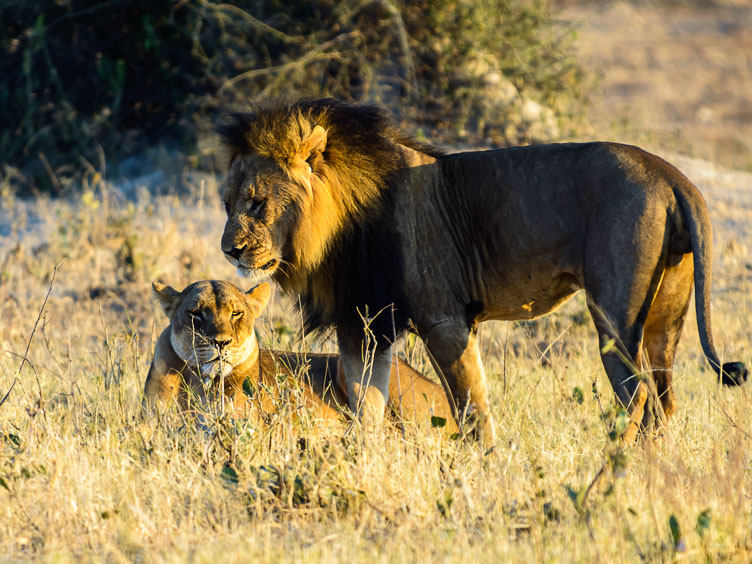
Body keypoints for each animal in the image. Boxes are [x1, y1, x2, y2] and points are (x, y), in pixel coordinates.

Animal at [217, 100, 748, 446]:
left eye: (257, 202)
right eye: (226, 203)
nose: (229, 249)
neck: (340, 222)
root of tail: (670, 174)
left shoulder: (444, 320)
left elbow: (472, 409)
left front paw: (485, 464)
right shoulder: (364, 326)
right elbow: (367, 408)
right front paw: (364, 460)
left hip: (615, 315)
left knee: (638, 398)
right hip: (664, 319)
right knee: (665, 401)